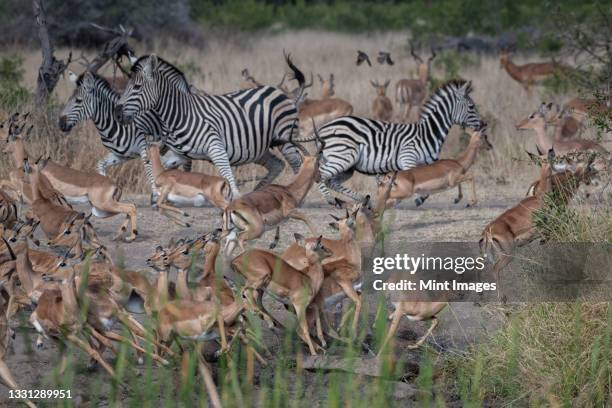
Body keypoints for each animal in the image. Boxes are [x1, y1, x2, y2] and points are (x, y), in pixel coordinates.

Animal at [58, 71, 165, 203]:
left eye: (78, 101)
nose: (60, 124)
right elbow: (100, 164)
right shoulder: (122, 155)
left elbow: (149, 169)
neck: (115, 124)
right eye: (69, 99)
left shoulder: (144, 147)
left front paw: (156, 195)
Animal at [113, 53, 304, 198]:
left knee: (297, 163)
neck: (180, 113)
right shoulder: (180, 154)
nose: (117, 113)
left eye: (137, 87)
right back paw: (258, 192)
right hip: (257, 147)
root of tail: (281, 92)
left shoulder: (215, 147)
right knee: (277, 164)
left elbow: (228, 178)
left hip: (285, 139)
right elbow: (164, 169)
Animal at [300, 79, 482, 206]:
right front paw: (415, 198)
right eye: (471, 107)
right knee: (320, 175)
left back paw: (362, 199)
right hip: (343, 157)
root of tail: (324, 128)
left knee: (332, 181)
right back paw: (330, 199)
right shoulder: (408, 158)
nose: (483, 124)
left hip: (346, 165)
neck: (428, 132)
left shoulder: (428, 163)